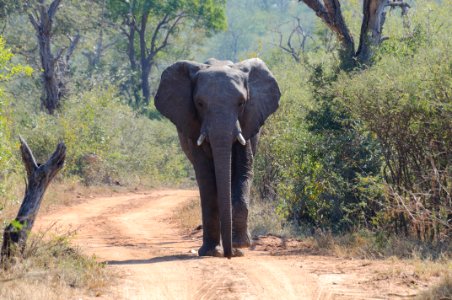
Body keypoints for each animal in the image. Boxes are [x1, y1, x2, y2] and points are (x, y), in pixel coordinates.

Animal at [155, 58, 278, 258]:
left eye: (241, 103)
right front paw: (211, 252)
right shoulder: (194, 127)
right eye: (199, 103)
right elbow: (206, 179)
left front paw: (241, 246)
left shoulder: (247, 123)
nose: (230, 254)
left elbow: (243, 171)